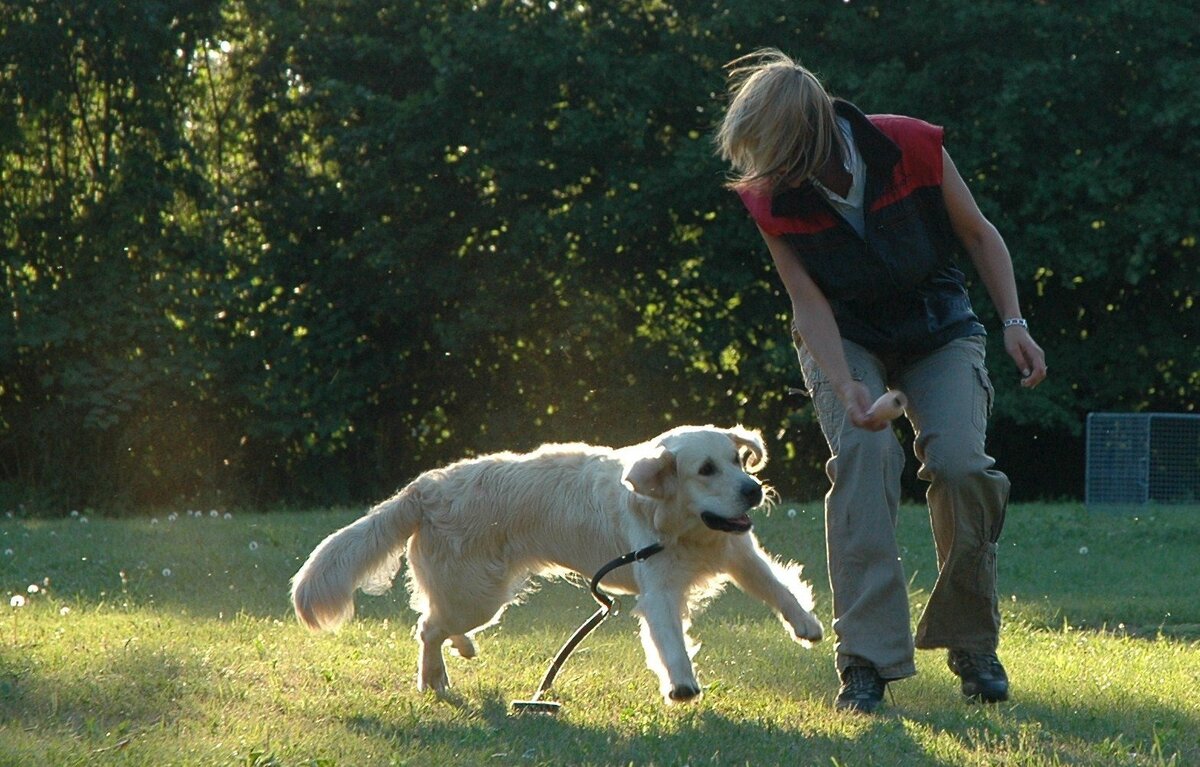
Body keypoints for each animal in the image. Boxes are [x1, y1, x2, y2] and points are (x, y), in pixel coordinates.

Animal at [290, 427, 820, 700]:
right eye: (706, 469)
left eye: (738, 460)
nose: (753, 490)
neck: (684, 527)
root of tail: (425, 487)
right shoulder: (659, 591)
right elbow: (670, 641)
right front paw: (682, 684)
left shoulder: (739, 553)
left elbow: (779, 587)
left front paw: (807, 625)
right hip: (477, 595)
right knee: (427, 627)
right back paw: (434, 679)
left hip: (479, 594)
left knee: (435, 620)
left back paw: (461, 650)